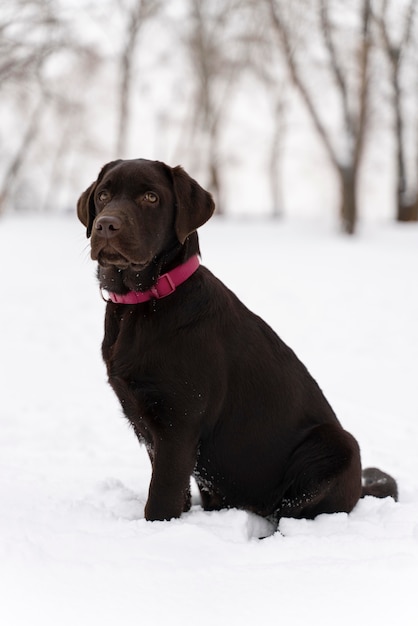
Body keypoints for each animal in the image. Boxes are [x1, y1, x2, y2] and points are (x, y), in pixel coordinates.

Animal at [77, 156, 398, 520]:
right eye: (103, 195)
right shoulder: (151, 427)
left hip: (336, 446)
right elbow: (176, 494)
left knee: (288, 511)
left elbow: (161, 497)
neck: (142, 303)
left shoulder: (179, 423)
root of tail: (360, 491)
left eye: (151, 197)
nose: (106, 225)